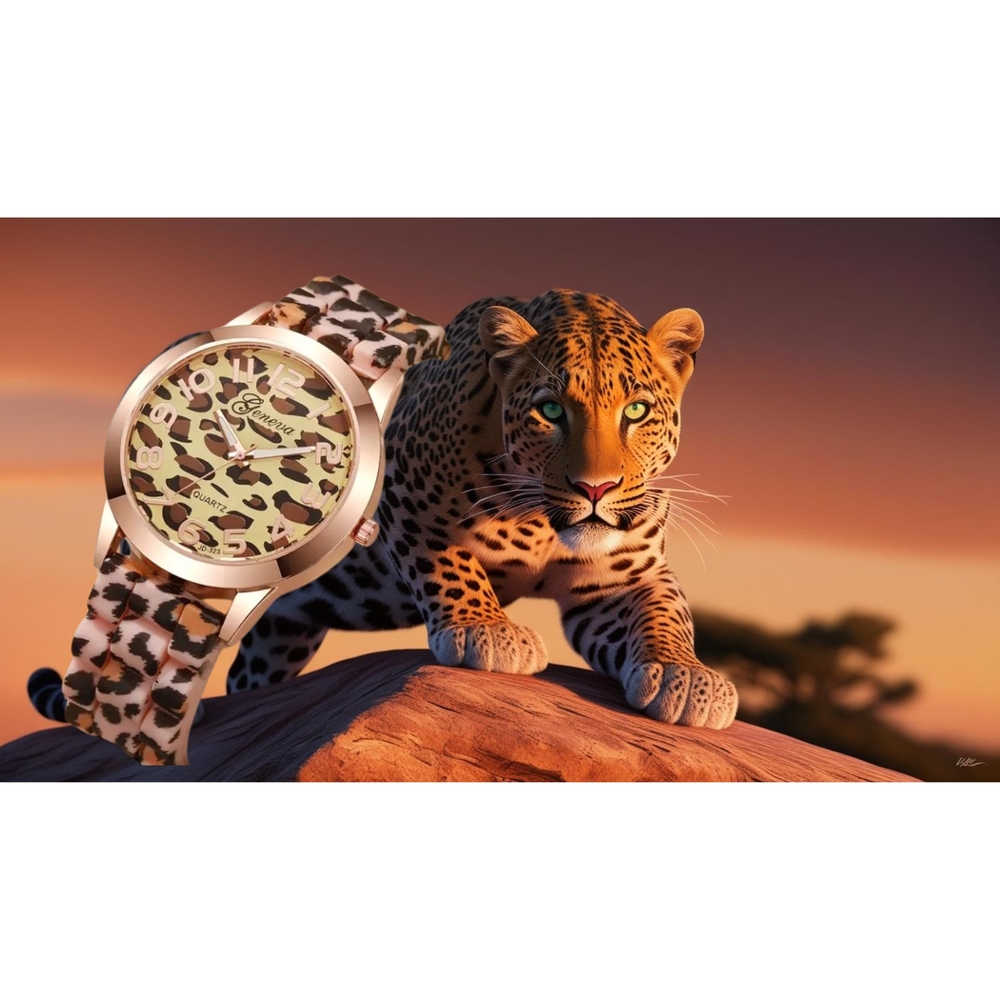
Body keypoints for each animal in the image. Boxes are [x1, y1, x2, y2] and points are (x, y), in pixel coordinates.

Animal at [226, 286, 738, 729]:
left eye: (636, 411)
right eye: (551, 411)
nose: (596, 488)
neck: (542, 524)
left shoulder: (619, 577)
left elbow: (665, 610)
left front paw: (685, 675)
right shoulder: (404, 492)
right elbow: (449, 561)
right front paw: (485, 629)